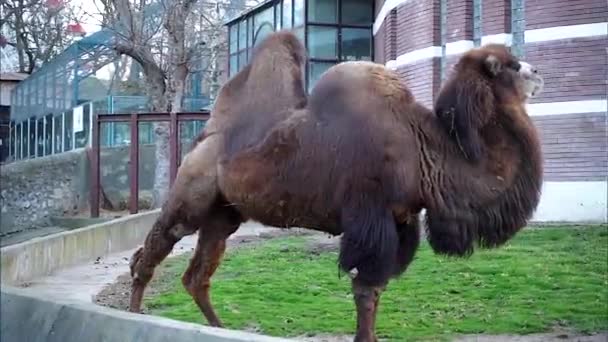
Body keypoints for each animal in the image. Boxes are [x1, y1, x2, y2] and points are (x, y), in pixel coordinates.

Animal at [126, 30, 544, 342]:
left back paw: (219, 327)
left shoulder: (401, 222)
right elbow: (365, 290)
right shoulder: (370, 218)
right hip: (192, 193)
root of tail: (206, 135)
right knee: (155, 247)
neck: (423, 152)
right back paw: (135, 314)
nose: (538, 71)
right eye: (509, 66)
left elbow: (376, 289)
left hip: (225, 214)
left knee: (196, 275)